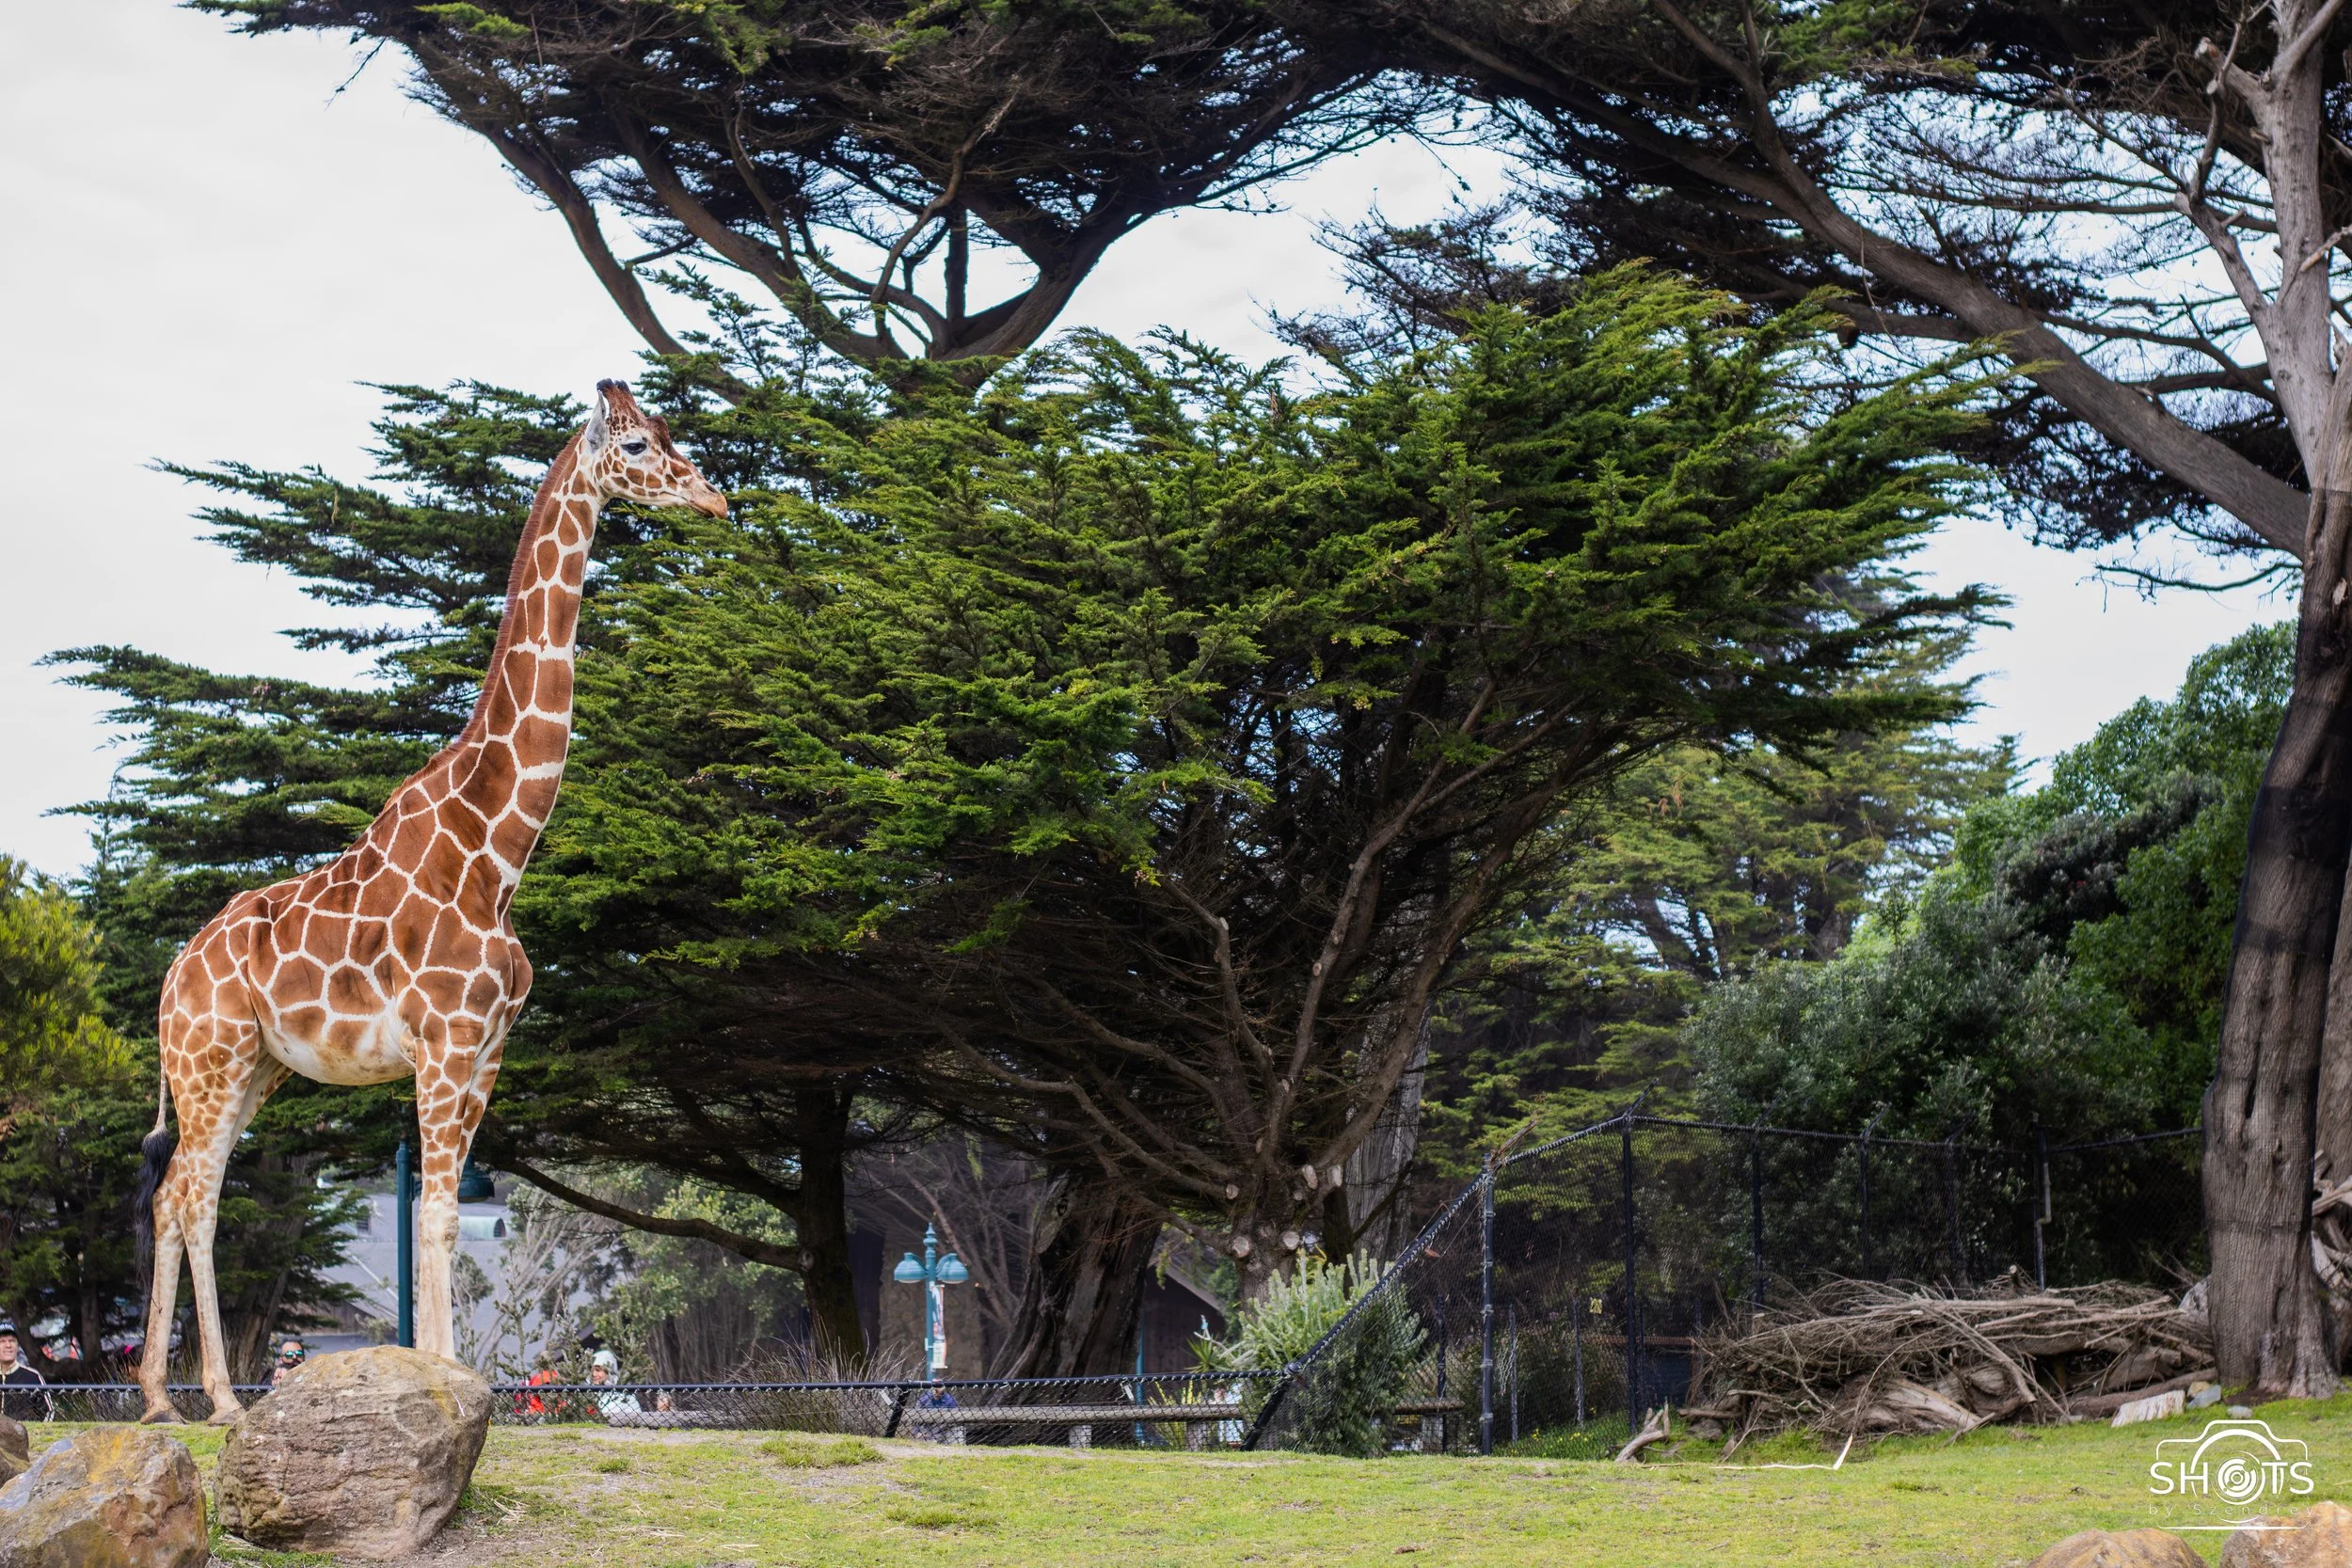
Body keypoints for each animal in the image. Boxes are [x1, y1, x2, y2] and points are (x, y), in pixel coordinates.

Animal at [134, 380, 726, 1423]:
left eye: (666, 433)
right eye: (636, 445)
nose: (714, 499)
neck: (498, 851)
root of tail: (169, 978)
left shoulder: (486, 1048)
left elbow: (441, 1213)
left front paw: (449, 1383)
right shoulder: (445, 1043)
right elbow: (440, 1213)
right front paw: (452, 1386)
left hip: (255, 1069)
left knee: (175, 1196)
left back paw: (162, 1400)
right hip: (209, 1061)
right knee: (196, 1198)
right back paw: (223, 1401)